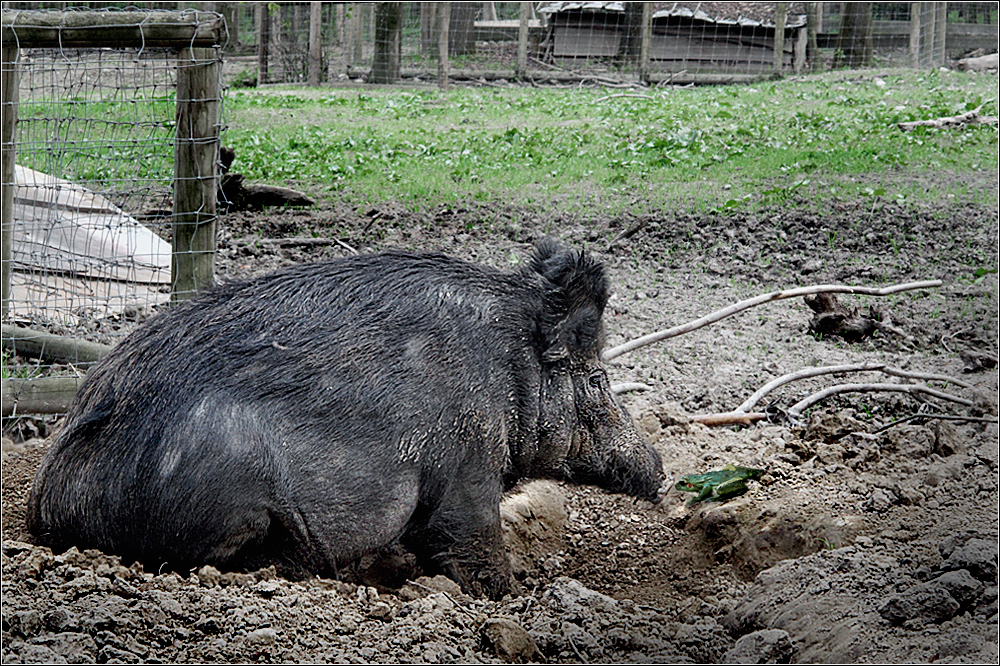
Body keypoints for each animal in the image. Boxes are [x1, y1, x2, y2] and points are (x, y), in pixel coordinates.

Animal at [27, 239, 664, 596]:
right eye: (598, 380)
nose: (660, 471)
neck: (512, 372)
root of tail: (47, 502)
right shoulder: (468, 462)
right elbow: (469, 536)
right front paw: (513, 596)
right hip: (230, 503)